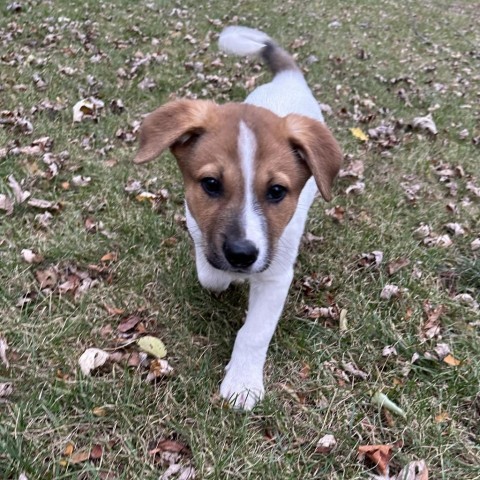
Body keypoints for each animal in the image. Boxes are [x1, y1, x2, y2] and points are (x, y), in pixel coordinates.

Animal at [134, 26, 342, 408]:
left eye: (276, 191)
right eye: (211, 184)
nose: (242, 255)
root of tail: (289, 77)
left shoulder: (276, 276)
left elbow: (254, 332)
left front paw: (243, 383)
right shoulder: (196, 224)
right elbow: (210, 273)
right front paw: (223, 276)